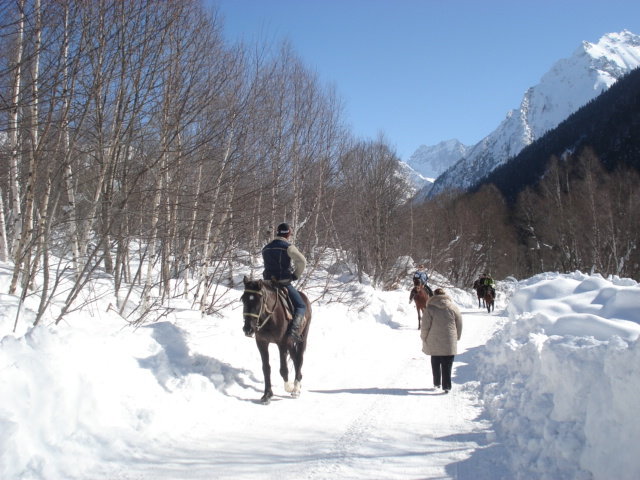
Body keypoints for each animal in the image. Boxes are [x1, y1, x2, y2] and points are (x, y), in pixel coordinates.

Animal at [241, 276, 312, 404]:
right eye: (243, 299)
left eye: (259, 300)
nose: (248, 329)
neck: (270, 318)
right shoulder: (262, 343)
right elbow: (266, 368)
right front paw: (267, 394)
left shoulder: (281, 343)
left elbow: (283, 369)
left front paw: (289, 387)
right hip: (290, 342)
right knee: (295, 358)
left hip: (302, 338)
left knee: (299, 359)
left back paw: (296, 388)